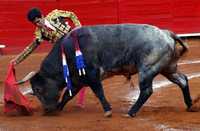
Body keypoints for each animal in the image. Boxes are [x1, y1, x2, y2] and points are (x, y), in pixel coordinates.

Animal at [28, 24, 193, 117]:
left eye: (38, 89)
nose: (47, 110)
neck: (66, 52)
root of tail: (166, 33)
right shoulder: (77, 80)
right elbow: (67, 96)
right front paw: (59, 108)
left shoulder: (92, 75)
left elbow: (99, 92)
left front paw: (107, 110)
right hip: (167, 68)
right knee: (183, 80)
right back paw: (190, 105)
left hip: (147, 69)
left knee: (146, 91)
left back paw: (131, 112)